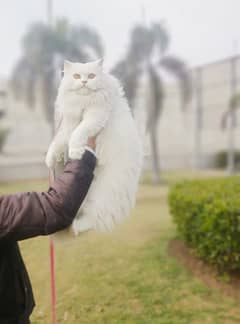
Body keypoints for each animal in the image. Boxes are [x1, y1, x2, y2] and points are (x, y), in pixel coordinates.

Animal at [45, 58, 142, 235]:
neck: (83, 102)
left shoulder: (95, 117)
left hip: (103, 195)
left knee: (93, 218)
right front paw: (50, 159)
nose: (84, 81)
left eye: (91, 76)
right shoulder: (70, 123)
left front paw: (75, 152)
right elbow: (58, 141)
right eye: (76, 76)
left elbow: (77, 134)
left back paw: (76, 228)